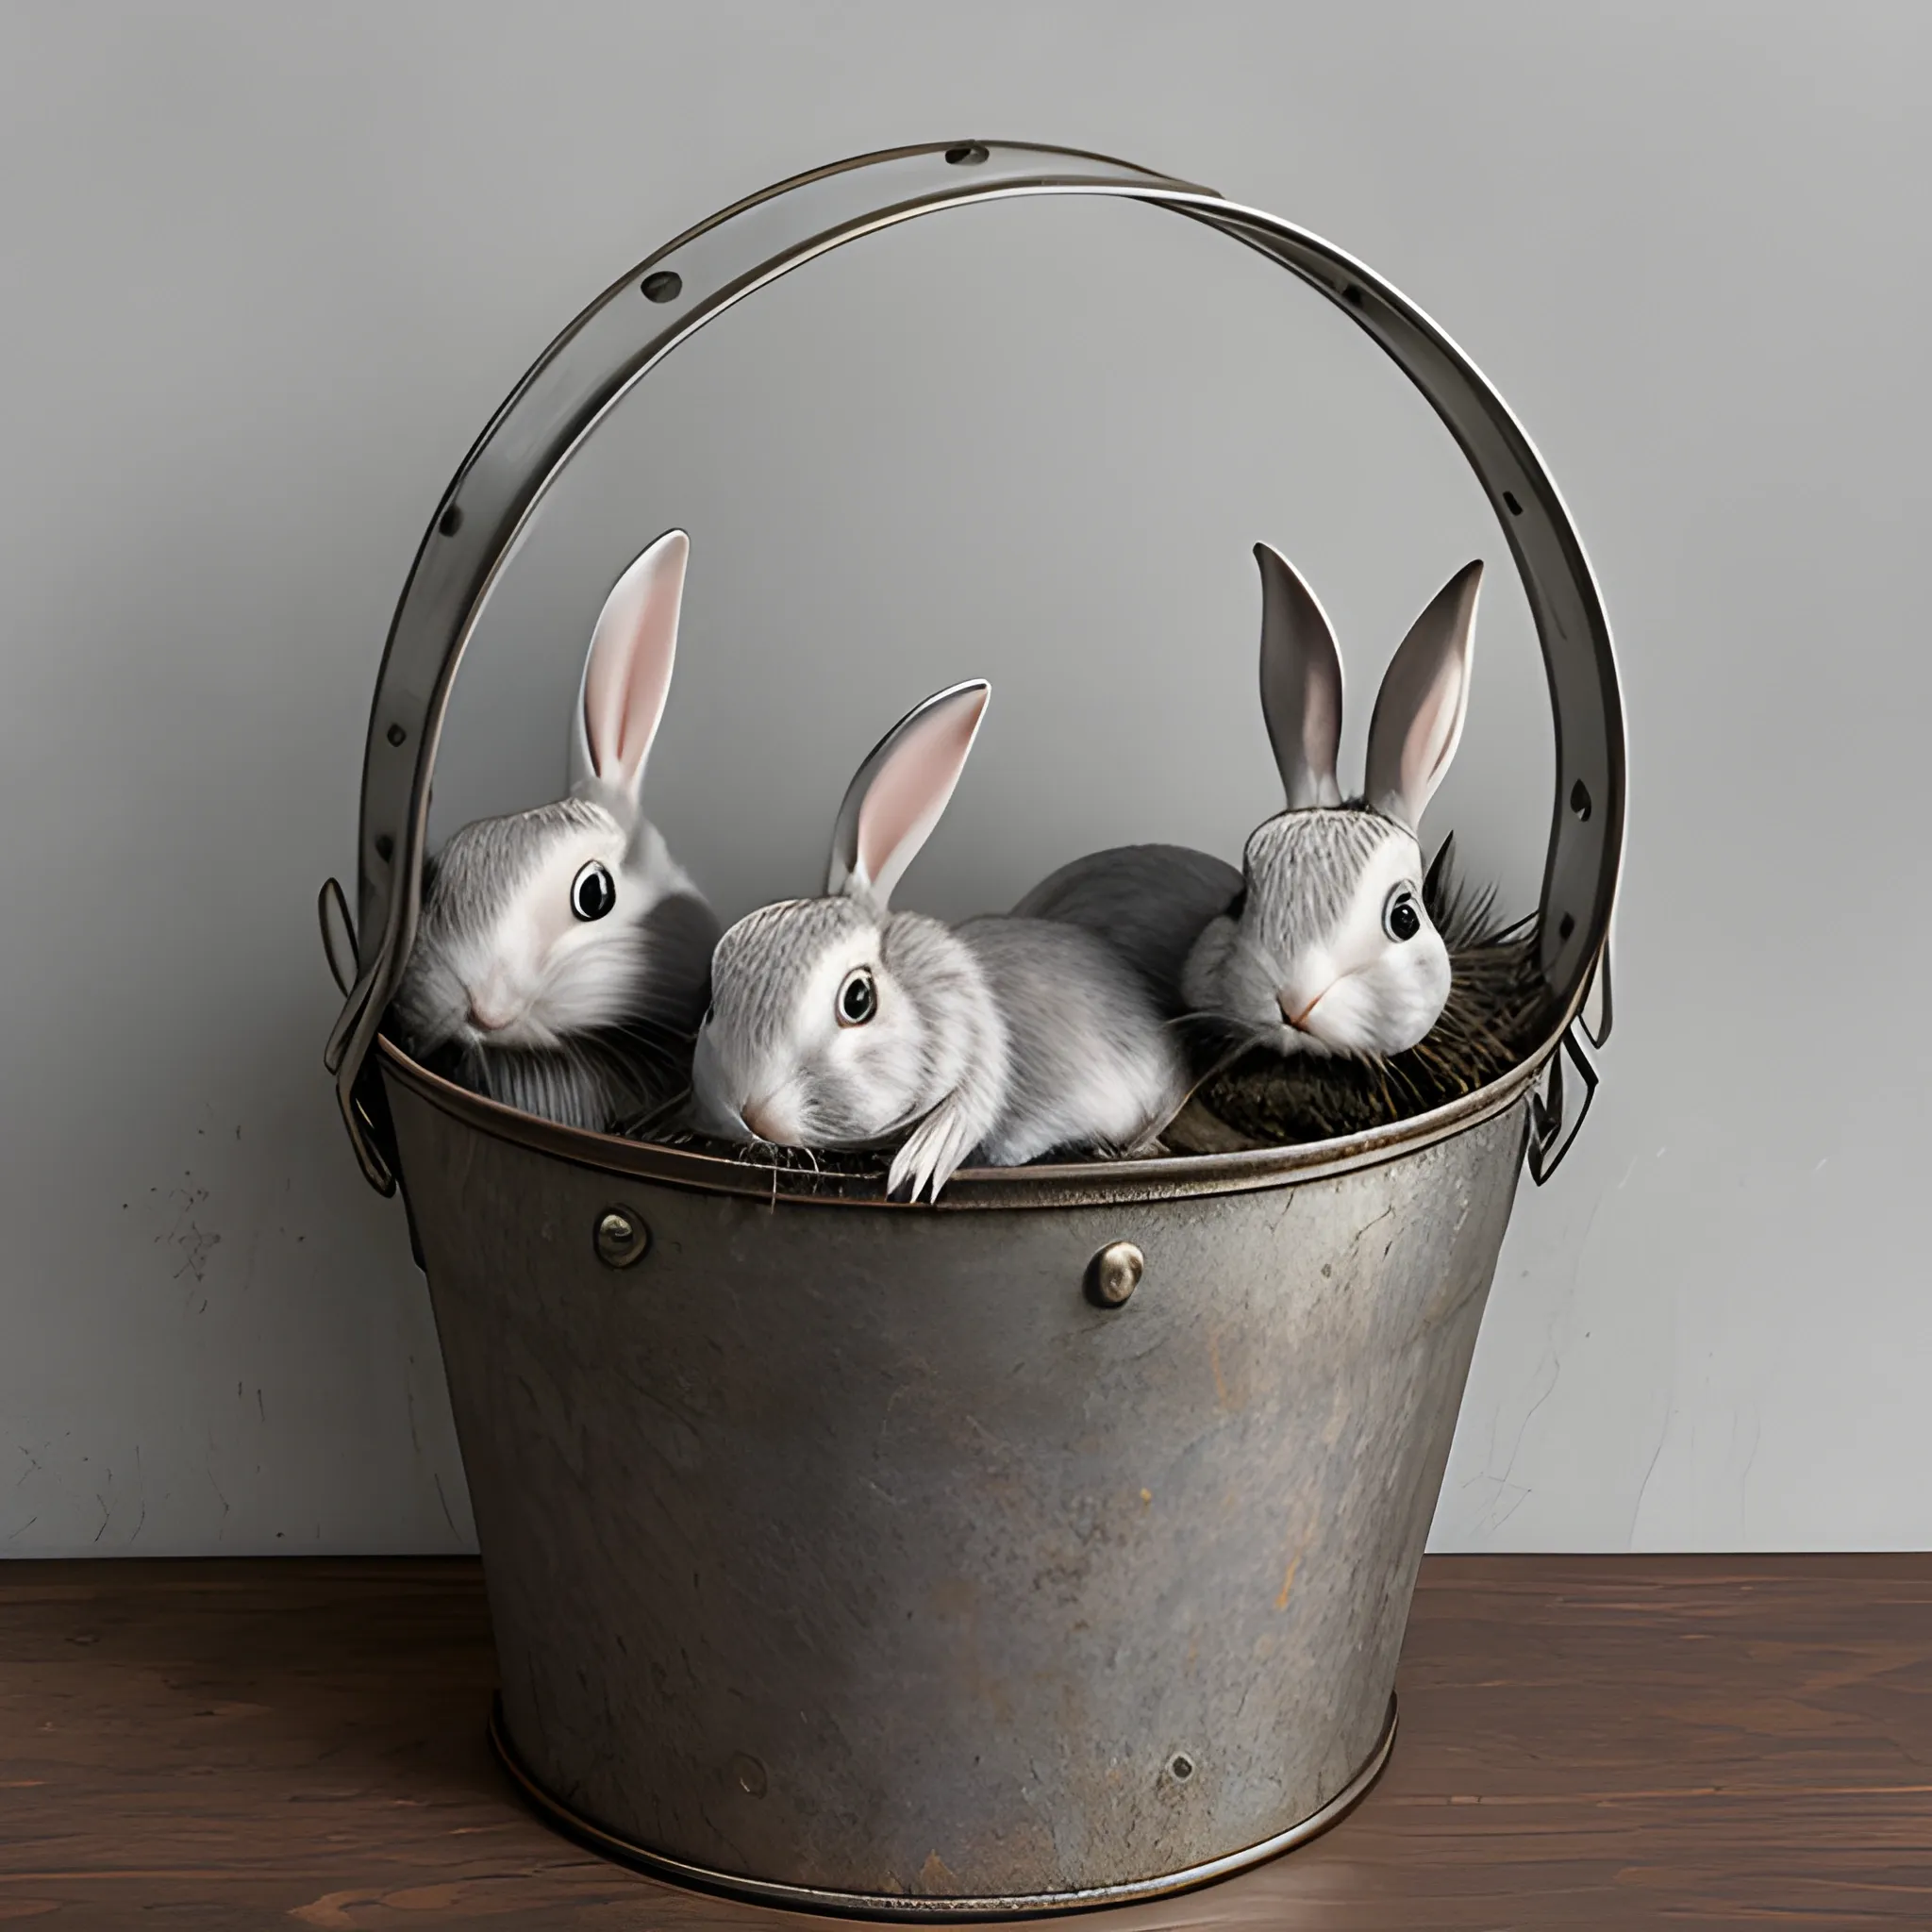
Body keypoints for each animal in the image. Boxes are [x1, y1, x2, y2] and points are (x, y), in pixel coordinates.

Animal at [679, 675, 1190, 1190]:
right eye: (712, 1008)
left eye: (858, 1000)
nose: (751, 1114)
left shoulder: (980, 1031)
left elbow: (973, 1098)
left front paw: (918, 1166)